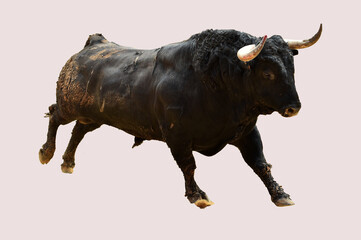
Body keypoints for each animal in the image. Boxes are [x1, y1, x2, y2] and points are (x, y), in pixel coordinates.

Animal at [39, 27, 320, 208]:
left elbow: (260, 163)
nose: (294, 108)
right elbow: (189, 165)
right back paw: (46, 153)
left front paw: (280, 194)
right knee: (55, 116)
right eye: (267, 73)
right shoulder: (177, 136)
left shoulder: (247, 132)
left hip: (93, 116)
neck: (213, 81)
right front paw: (198, 195)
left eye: (291, 67)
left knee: (78, 131)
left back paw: (67, 162)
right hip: (69, 105)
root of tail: (94, 44)